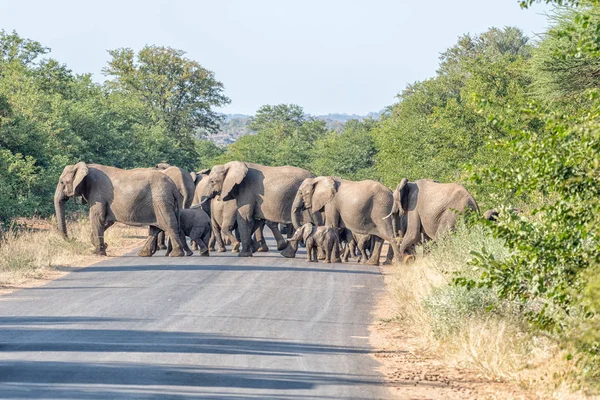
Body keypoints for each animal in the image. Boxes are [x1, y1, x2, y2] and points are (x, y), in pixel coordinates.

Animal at [55, 162, 190, 256]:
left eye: (61, 182)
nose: (73, 238)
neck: (86, 166)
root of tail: (173, 186)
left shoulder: (98, 193)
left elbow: (97, 217)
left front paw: (98, 252)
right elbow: (106, 221)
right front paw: (103, 247)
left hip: (161, 200)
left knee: (168, 224)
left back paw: (176, 254)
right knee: (155, 228)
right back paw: (144, 254)